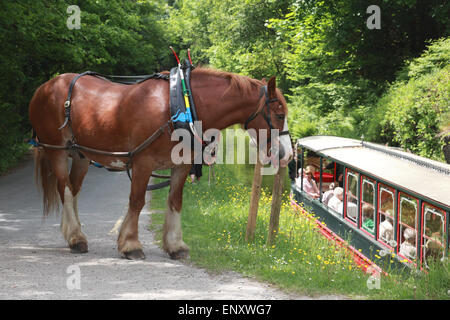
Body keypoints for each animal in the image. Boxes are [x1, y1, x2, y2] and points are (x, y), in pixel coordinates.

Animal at [29, 67, 294, 260]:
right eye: (279, 115)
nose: (288, 155)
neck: (182, 105)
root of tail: (45, 86)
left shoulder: (181, 165)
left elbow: (175, 201)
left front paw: (175, 245)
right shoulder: (143, 164)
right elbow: (136, 202)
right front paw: (130, 244)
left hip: (81, 154)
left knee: (73, 190)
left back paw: (74, 234)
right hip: (57, 151)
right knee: (64, 189)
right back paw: (75, 237)